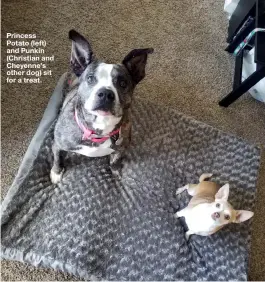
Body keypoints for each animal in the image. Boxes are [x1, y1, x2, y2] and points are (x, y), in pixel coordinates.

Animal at [49, 29, 153, 184]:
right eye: (90, 78)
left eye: (123, 83)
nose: (105, 93)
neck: (99, 129)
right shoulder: (58, 145)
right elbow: (57, 158)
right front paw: (56, 173)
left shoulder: (121, 148)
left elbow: (115, 161)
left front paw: (116, 173)